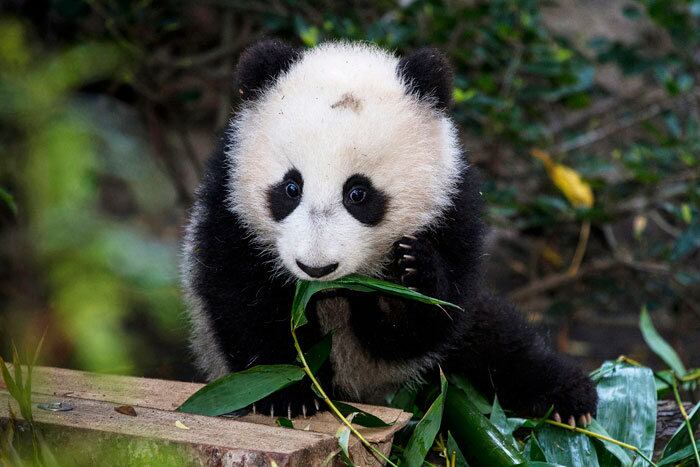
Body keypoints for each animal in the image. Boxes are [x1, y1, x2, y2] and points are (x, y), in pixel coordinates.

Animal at [181, 39, 597, 425]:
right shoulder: (228, 211)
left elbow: (426, 323)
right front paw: (285, 390)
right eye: (290, 187)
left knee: (498, 344)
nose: (316, 267)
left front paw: (411, 270)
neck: (337, 290)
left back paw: (569, 398)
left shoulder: (451, 208)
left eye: (358, 193)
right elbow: (243, 302)